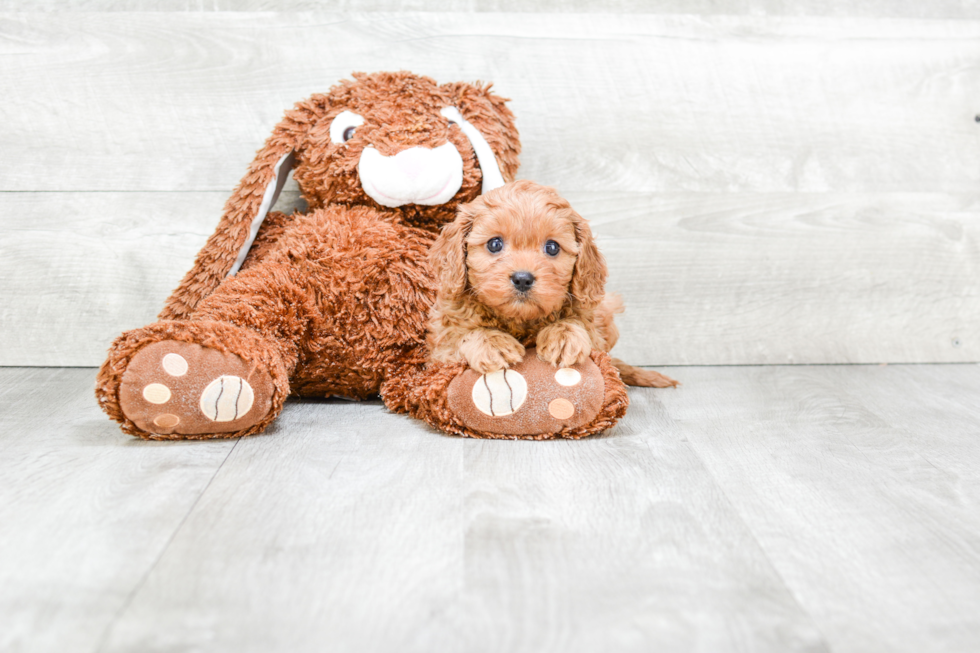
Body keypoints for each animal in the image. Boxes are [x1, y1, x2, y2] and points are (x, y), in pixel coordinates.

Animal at [428, 178, 680, 388]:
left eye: (552, 247)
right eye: (494, 244)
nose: (522, 279)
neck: (520, 320)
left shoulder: (594, 330)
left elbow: (578, 323)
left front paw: (563, 336)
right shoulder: (439, 348)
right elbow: (460, 334)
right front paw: (492, 343)